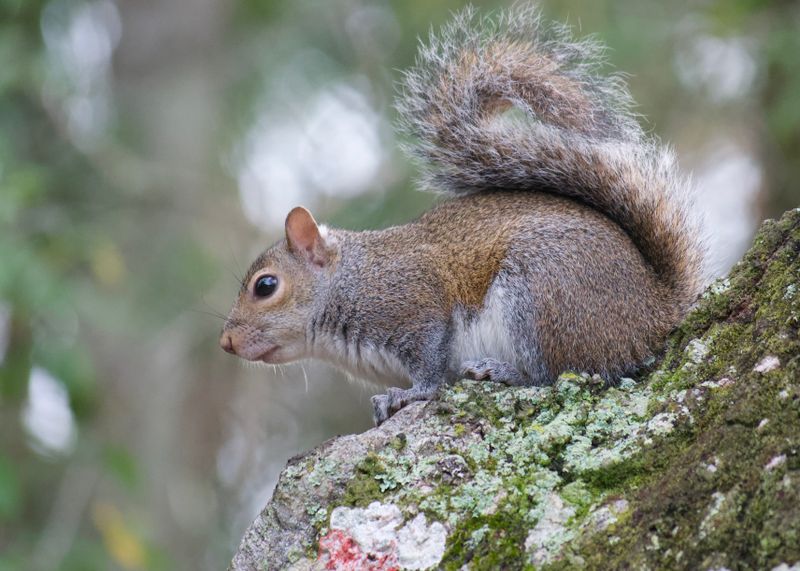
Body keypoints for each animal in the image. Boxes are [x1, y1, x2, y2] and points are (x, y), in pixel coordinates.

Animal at [219, 4, 705, 425]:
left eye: (266, 286)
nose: (226, 342)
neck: (349, 281)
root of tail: (655, 311)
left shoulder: (414, 304)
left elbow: (431, 364)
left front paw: (409, 395)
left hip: (543, 293)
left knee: (563, 372)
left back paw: (503, 371)